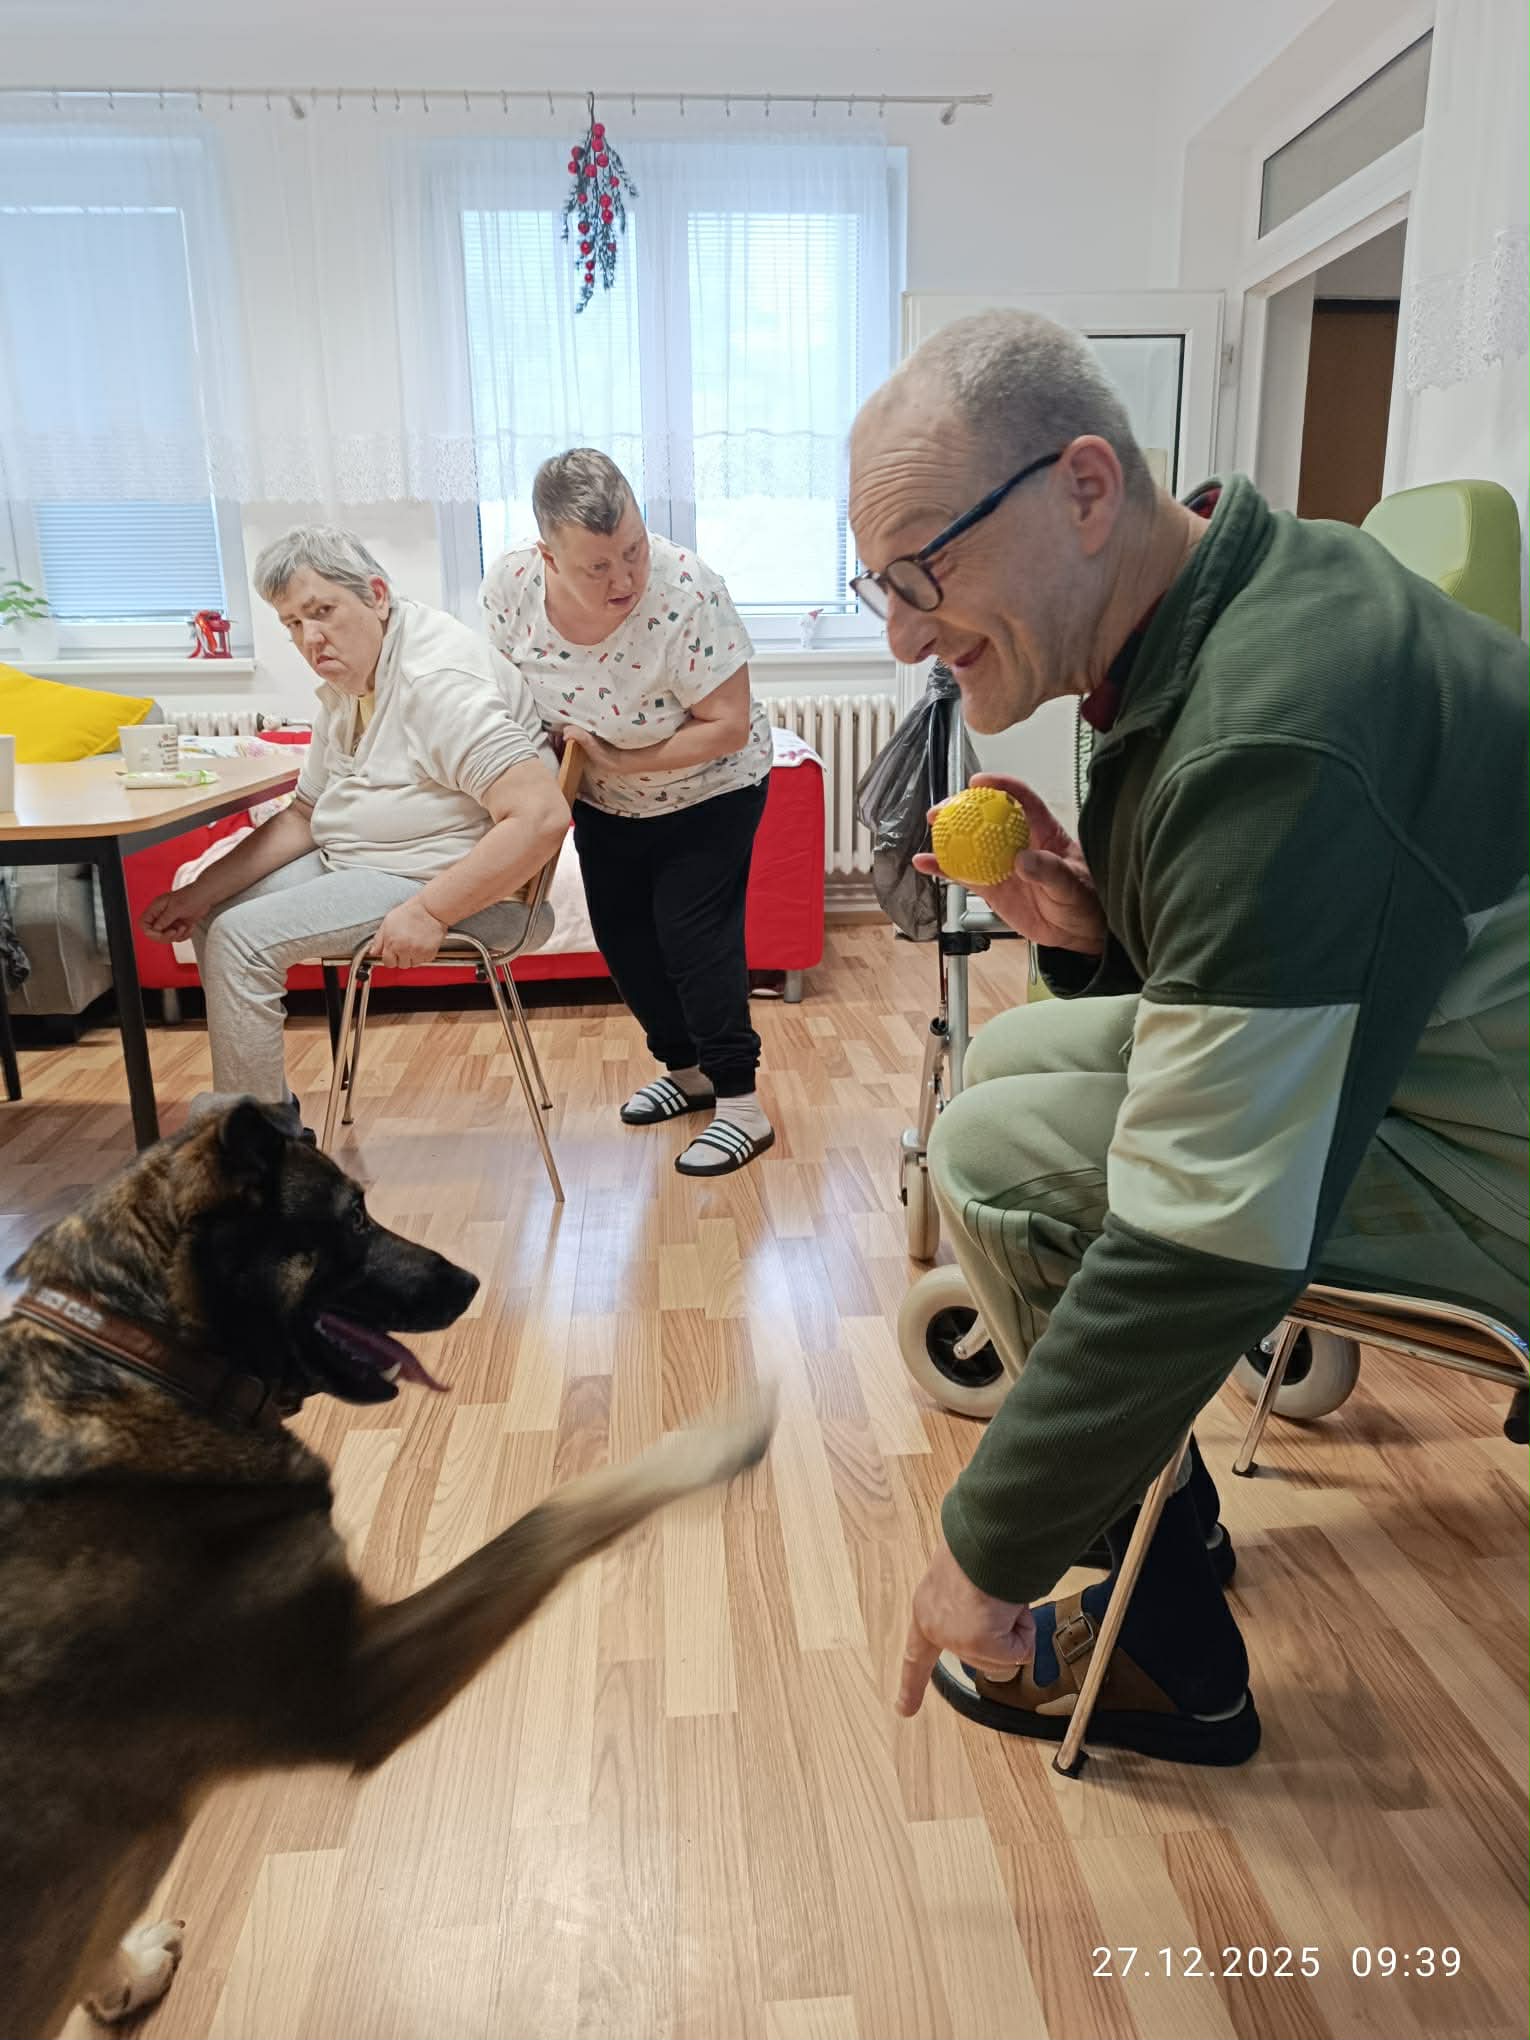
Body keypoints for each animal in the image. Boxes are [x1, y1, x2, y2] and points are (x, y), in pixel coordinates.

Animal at [0, 1101, 774, 2037]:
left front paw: (120, 1973)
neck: (134, 1353)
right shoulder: (357, 1685)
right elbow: (554, 1515)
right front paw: (708, 1443)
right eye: (356, 1219)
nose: (471, 1283)